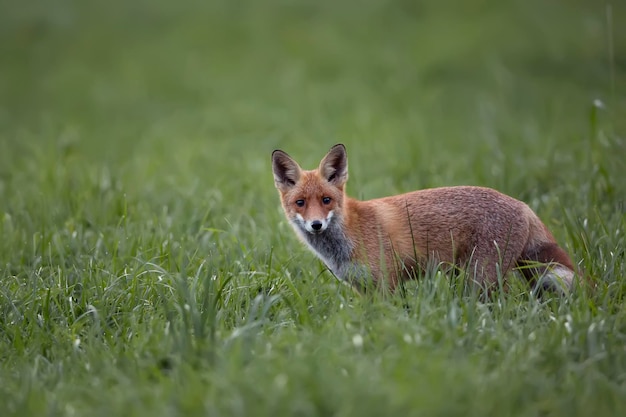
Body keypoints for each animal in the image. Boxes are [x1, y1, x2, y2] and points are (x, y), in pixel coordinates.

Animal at [270, 145, 572, 294]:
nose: (316, 225)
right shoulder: (363, 289)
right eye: (300, 203)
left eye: (326, 200)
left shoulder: (387, 283)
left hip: (481, 279)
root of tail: (523, 204)